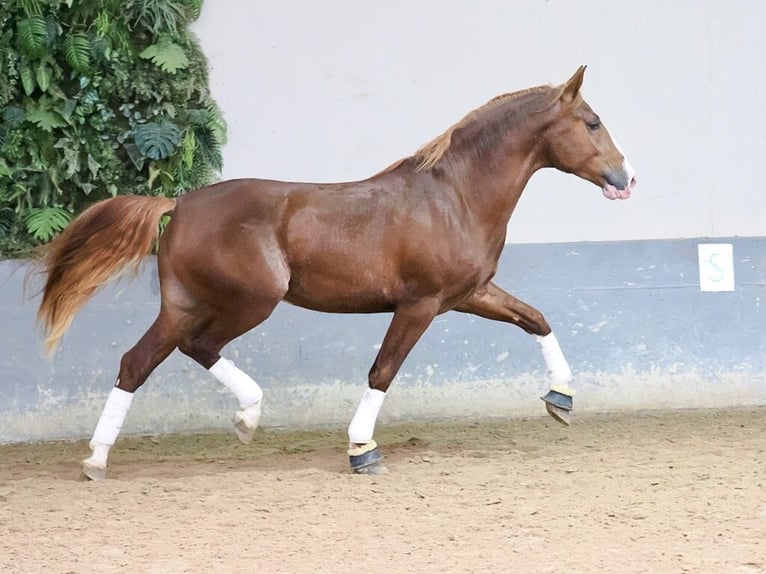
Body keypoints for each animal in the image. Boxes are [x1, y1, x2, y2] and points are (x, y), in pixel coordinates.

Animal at [34, 66, 636, 482]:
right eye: (592, 122)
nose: (626, 178)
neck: (454, 196)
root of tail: (178, 204)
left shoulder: (469, 293)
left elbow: (535, 318)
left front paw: (561, 399)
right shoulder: (420, 304)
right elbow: (382, 372)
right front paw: (362, 451)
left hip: (182, 304)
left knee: (135, 364)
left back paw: (97, 459)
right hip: (248, 302)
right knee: (198, 347)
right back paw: (246, 420)